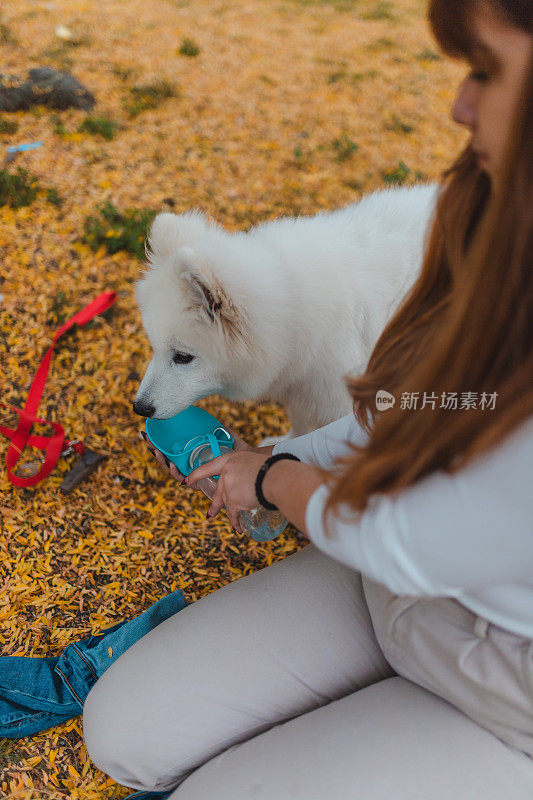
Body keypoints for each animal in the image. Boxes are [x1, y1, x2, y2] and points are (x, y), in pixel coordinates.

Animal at [132, 183, 436, 438]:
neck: (294, 304)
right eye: (154, 347)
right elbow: (300, 428)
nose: (139, 408)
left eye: (183, 357)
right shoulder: (302, 390)